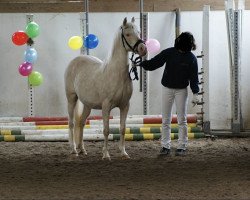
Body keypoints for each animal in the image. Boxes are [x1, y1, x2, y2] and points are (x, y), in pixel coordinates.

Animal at [63, 18, 147, 160]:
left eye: (139, 32)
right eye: (128, 34)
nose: (143, 49)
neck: (117, 74)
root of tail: (75, 61)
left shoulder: (125, 106)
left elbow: (122, 129)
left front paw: (124, 153)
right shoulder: (106, 106)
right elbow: (106, 130)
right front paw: (106, 155)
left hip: (87, 105)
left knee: (81, 123)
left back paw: (82, 149)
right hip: (71, 99)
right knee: (72, 123)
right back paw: (74, 150)